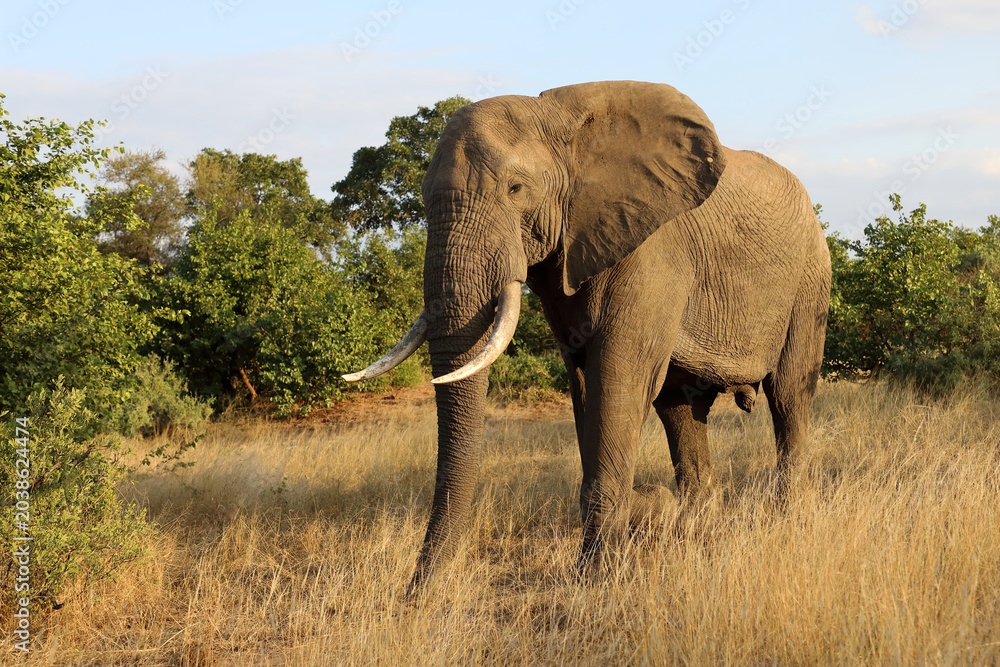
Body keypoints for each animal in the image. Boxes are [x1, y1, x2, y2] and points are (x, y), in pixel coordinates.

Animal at [344, 80, 831, 592]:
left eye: (516, 189)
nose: (414, 593)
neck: (563, 126)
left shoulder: (652, 249)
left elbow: (617, 380)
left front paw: (596, 578)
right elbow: (584, 383)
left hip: (810, 279)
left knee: (788, 394)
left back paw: (786, 522)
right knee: (681, 409)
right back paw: (698, 532)